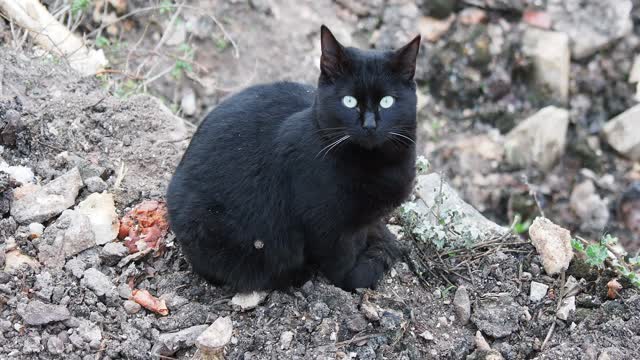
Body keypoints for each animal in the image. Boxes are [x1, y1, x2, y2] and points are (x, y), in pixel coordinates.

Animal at [168, 26, 422, 292]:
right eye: (349, 101)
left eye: (387, 101)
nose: (370, 125)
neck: (376, 164)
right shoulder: (326, 229)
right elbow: (343, 269)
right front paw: (365, 270)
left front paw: (384, 241)